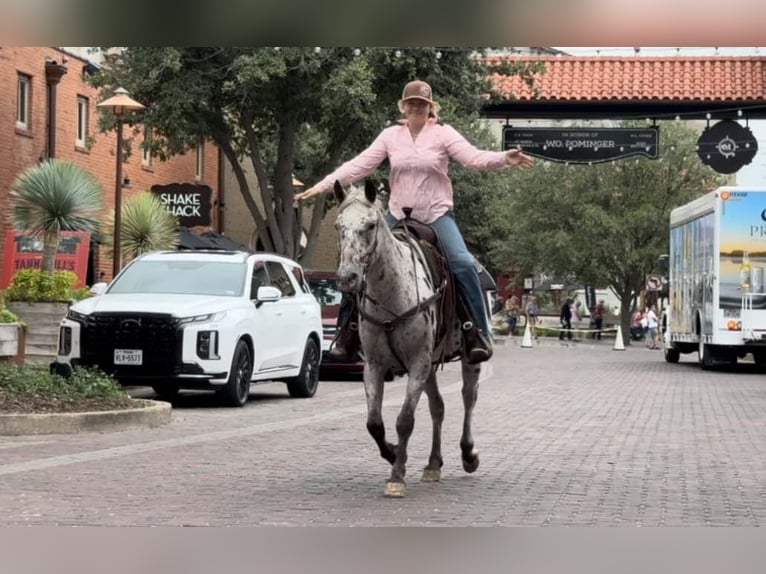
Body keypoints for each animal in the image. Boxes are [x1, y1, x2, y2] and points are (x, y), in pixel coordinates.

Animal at [334, 181, 484, 500]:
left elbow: (404, 420)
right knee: (438, 407)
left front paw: (397, 476)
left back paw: (468, 455)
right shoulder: (375, 366)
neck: (392, 291)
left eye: (370, 225)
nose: (348, 278)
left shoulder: (417, 364)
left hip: (465, 360)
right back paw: (433, 464)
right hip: (430, 365)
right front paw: (392, 454)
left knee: (468, 398)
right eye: (339, 226)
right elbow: (374, 423)